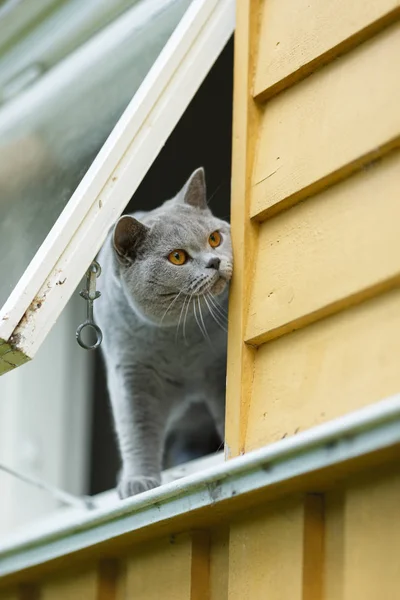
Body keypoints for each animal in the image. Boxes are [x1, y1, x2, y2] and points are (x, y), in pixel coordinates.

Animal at [95, 168, 233, 496]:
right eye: (178, 257)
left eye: (214, 238)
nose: (214, 261)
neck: (177, 339)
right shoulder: (132, 374)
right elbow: (137, 429)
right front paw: (138, 482)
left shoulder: (218, 365)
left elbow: (225, 409)